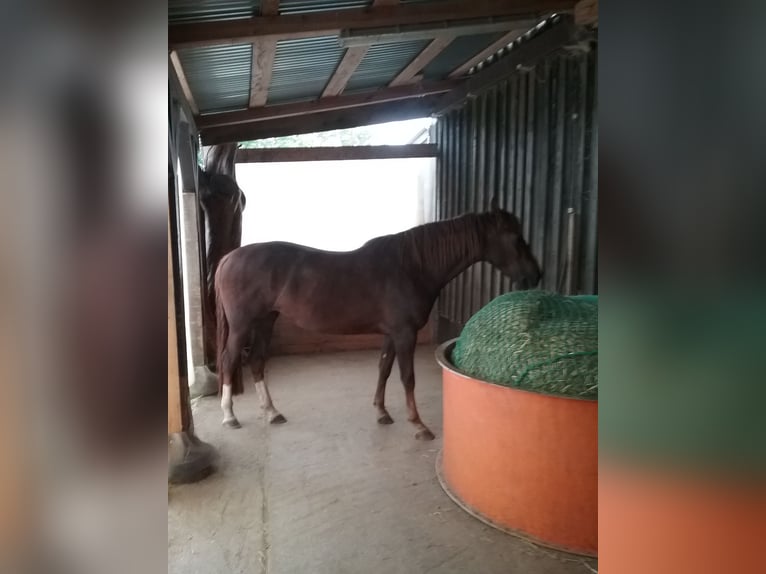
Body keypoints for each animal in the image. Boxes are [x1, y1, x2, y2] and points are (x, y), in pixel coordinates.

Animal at [213, 202, 544, 440]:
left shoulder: (391, 334)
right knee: (230, 360)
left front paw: (382, 413)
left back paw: (271, 412)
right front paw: (419, 425)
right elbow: (407, 377)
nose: (535, 276)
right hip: (242, 325)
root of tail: (229, 258)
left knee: (256, 361)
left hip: (266, 321)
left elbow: (383, 369)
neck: (413, 266)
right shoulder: (405, 333)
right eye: (516, 239)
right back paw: (229, 416)